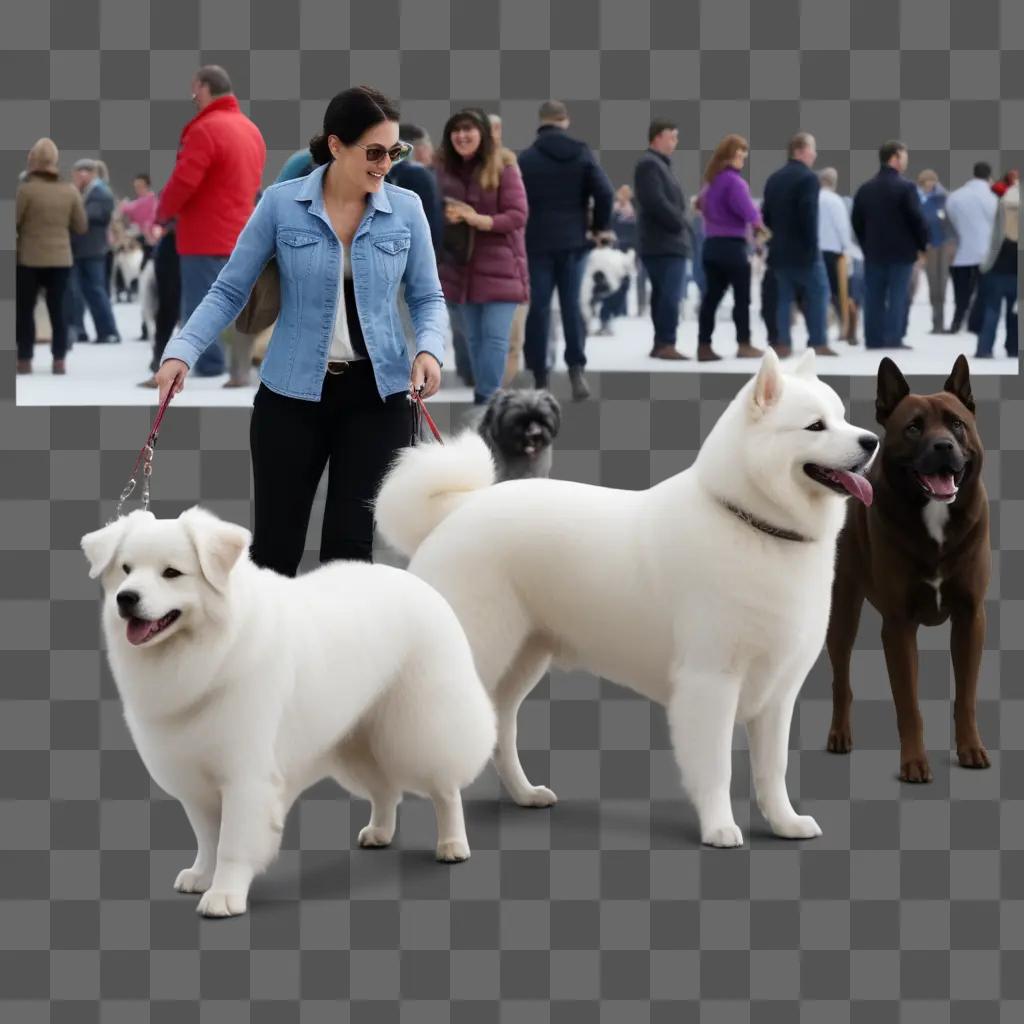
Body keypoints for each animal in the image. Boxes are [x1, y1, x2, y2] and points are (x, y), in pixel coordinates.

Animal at [80, 507, 495, 917]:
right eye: (126, 569)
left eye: (171, 573)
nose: (126, 598)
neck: (214, 651)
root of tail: (414, 580)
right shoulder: (194, 775)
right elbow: (207, 838)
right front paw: (201, 876)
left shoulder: (245, 775)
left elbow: (231, 843)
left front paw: (224, 896)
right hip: (357, 737)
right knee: (385, 791)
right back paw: (379, 832)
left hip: (420, 726)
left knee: (445, 788)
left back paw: (452, 845)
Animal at [378, 352, 880, 847]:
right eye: (816, 426)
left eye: (842, 416)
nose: (873, 440)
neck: (751, 521)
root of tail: (456, 510)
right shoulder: (710, 682)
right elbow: (716, 767)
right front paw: (719, 828)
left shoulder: (778, 692)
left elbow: (773, 770)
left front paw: (784, 823)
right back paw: (394, 831)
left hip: (520, 663)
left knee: (500, 732)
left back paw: (524, 794)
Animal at [823, 356, 991, 778]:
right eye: (914, 428)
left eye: (957, 424)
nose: (944, 445)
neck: (934, 515)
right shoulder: (898, 625)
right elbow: (908, 703)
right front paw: (914, 762)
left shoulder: (970, 617)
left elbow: (966, 694)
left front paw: (970, 748)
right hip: (842, 613)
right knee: (840, 679)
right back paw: (839, 735)